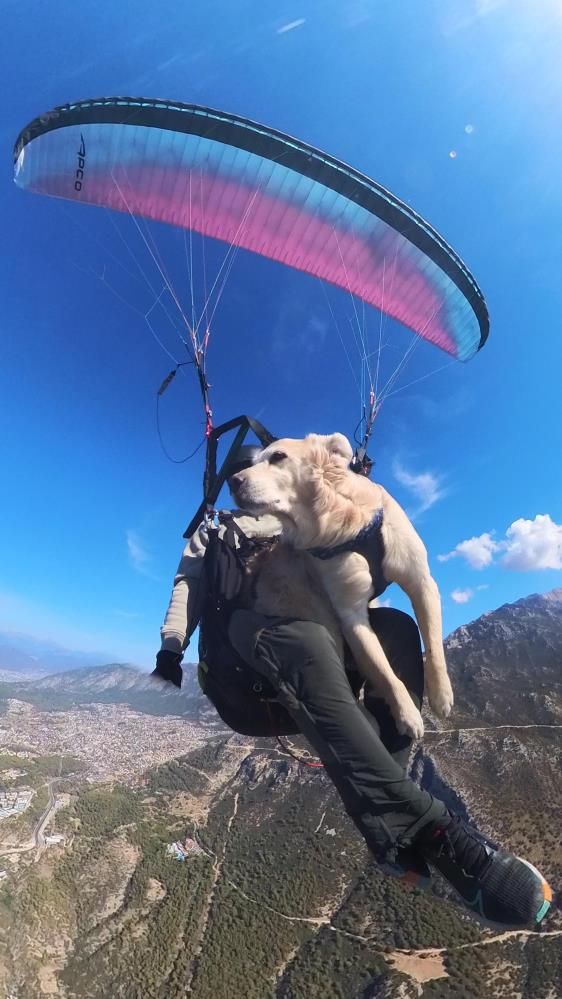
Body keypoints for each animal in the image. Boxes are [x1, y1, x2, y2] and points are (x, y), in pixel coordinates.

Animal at [230, 432, 452, 744]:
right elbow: (384, 672)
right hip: (316, 613)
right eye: (252, 463)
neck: (342, 517)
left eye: (278, 457)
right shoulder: (350, 613)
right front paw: (407, 713)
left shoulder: (421, 581)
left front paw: (442, 694)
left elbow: (433, 644)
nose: (233, 481)